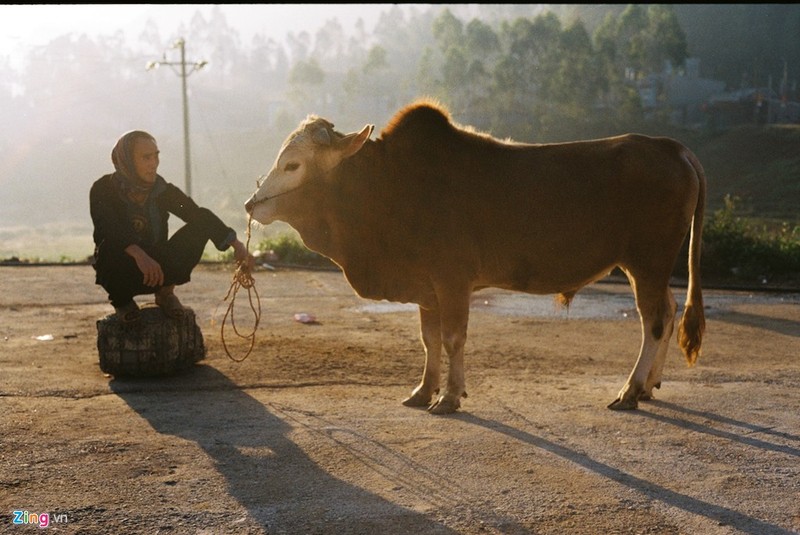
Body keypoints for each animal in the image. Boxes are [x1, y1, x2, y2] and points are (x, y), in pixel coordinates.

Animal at [245, 100, 708, 414]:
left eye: (293, 165)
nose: (251, 204)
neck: (389, 187)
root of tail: (671, 147)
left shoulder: (452, 280)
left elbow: (452, 338)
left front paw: (449, 396)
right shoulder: (426, 288)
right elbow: (430, 340)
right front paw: (423, 391)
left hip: (648, 262)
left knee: (654, 321)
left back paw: (630, 390)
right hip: (644, 267)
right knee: (667, 312)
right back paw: (649, 385)